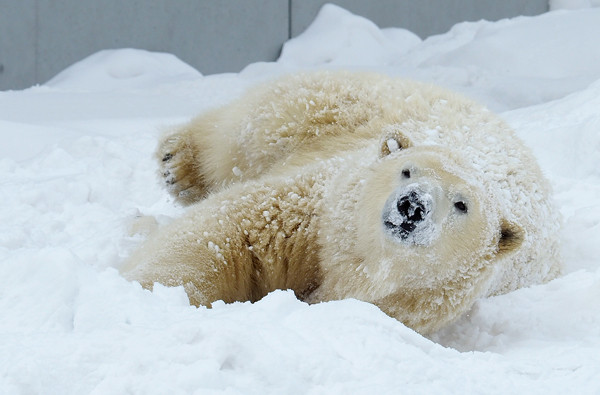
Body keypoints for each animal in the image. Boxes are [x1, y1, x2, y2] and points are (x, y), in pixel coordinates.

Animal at [122, 71, 564, 334]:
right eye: (407, 171)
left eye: (461, 205)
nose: (412, 206)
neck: (356, 258)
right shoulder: (316, 205)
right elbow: (229, 230)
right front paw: (149, 292)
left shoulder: (405, 303)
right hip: (331, 106)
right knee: (244, 133)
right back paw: (176, 163)